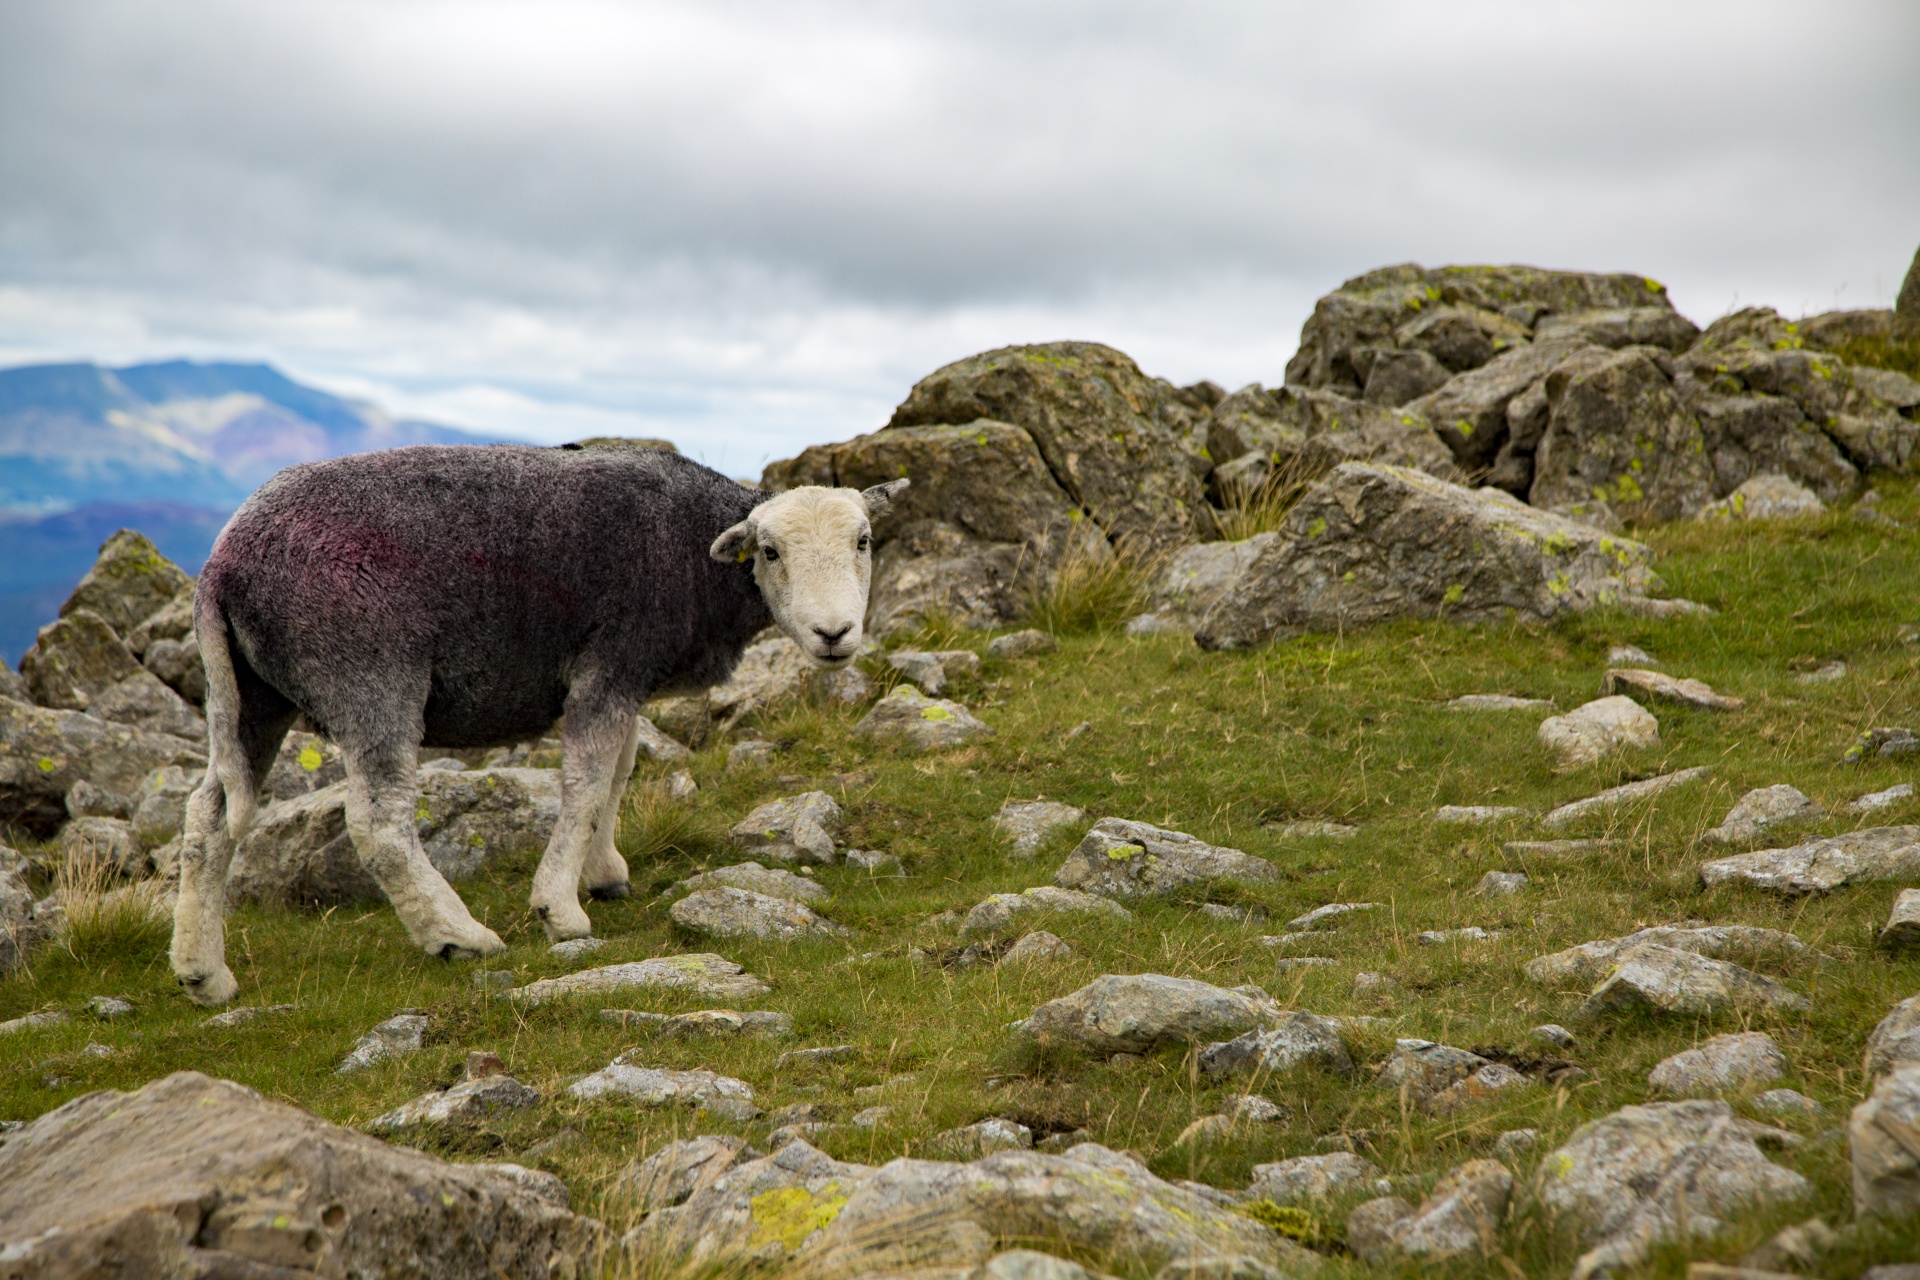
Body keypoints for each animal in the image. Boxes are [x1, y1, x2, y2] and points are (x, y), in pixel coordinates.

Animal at [167, 445, 906, 1005]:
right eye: (771, 552)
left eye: (864, 541)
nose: (834, 633)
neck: (694, 555)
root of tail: (226, 564)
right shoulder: (608, 665)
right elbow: (585, 784)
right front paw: (561, 909)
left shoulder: (625, 681)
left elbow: (617, 773)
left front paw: (604, 872)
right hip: (368, 672)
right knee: (377, 824)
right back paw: (456, 936)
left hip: (250, 692)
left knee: (209, 815)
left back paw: (204, 972)